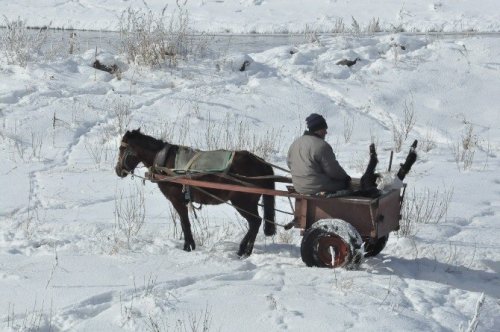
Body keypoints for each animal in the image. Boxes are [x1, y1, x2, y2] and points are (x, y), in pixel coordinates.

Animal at [114, 128, 278, 255]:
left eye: (122, 149)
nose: (118, 170)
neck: (165, 163)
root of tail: (262, 164)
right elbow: (185, 223)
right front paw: (190, 245)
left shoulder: (177, 201)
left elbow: (185, 223)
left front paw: (188, 247)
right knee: (254, 224)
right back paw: (244, 250)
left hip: (243, 202)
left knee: (255, 222)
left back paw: (245, 250)